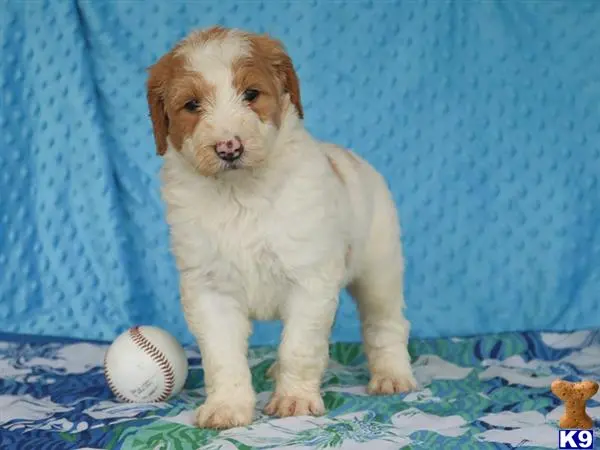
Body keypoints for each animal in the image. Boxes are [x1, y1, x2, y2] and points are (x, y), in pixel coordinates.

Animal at [148, 25, 414, 428]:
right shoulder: (210, 289)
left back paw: (392, 375)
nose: (229, 148)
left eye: (251, 94)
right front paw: (228, 406)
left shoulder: (309, 281)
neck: (240, 194)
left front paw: (294, 400)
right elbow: (223, 357)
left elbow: (299, 347)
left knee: (386, 324)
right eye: (191, 105)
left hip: (379, 270)